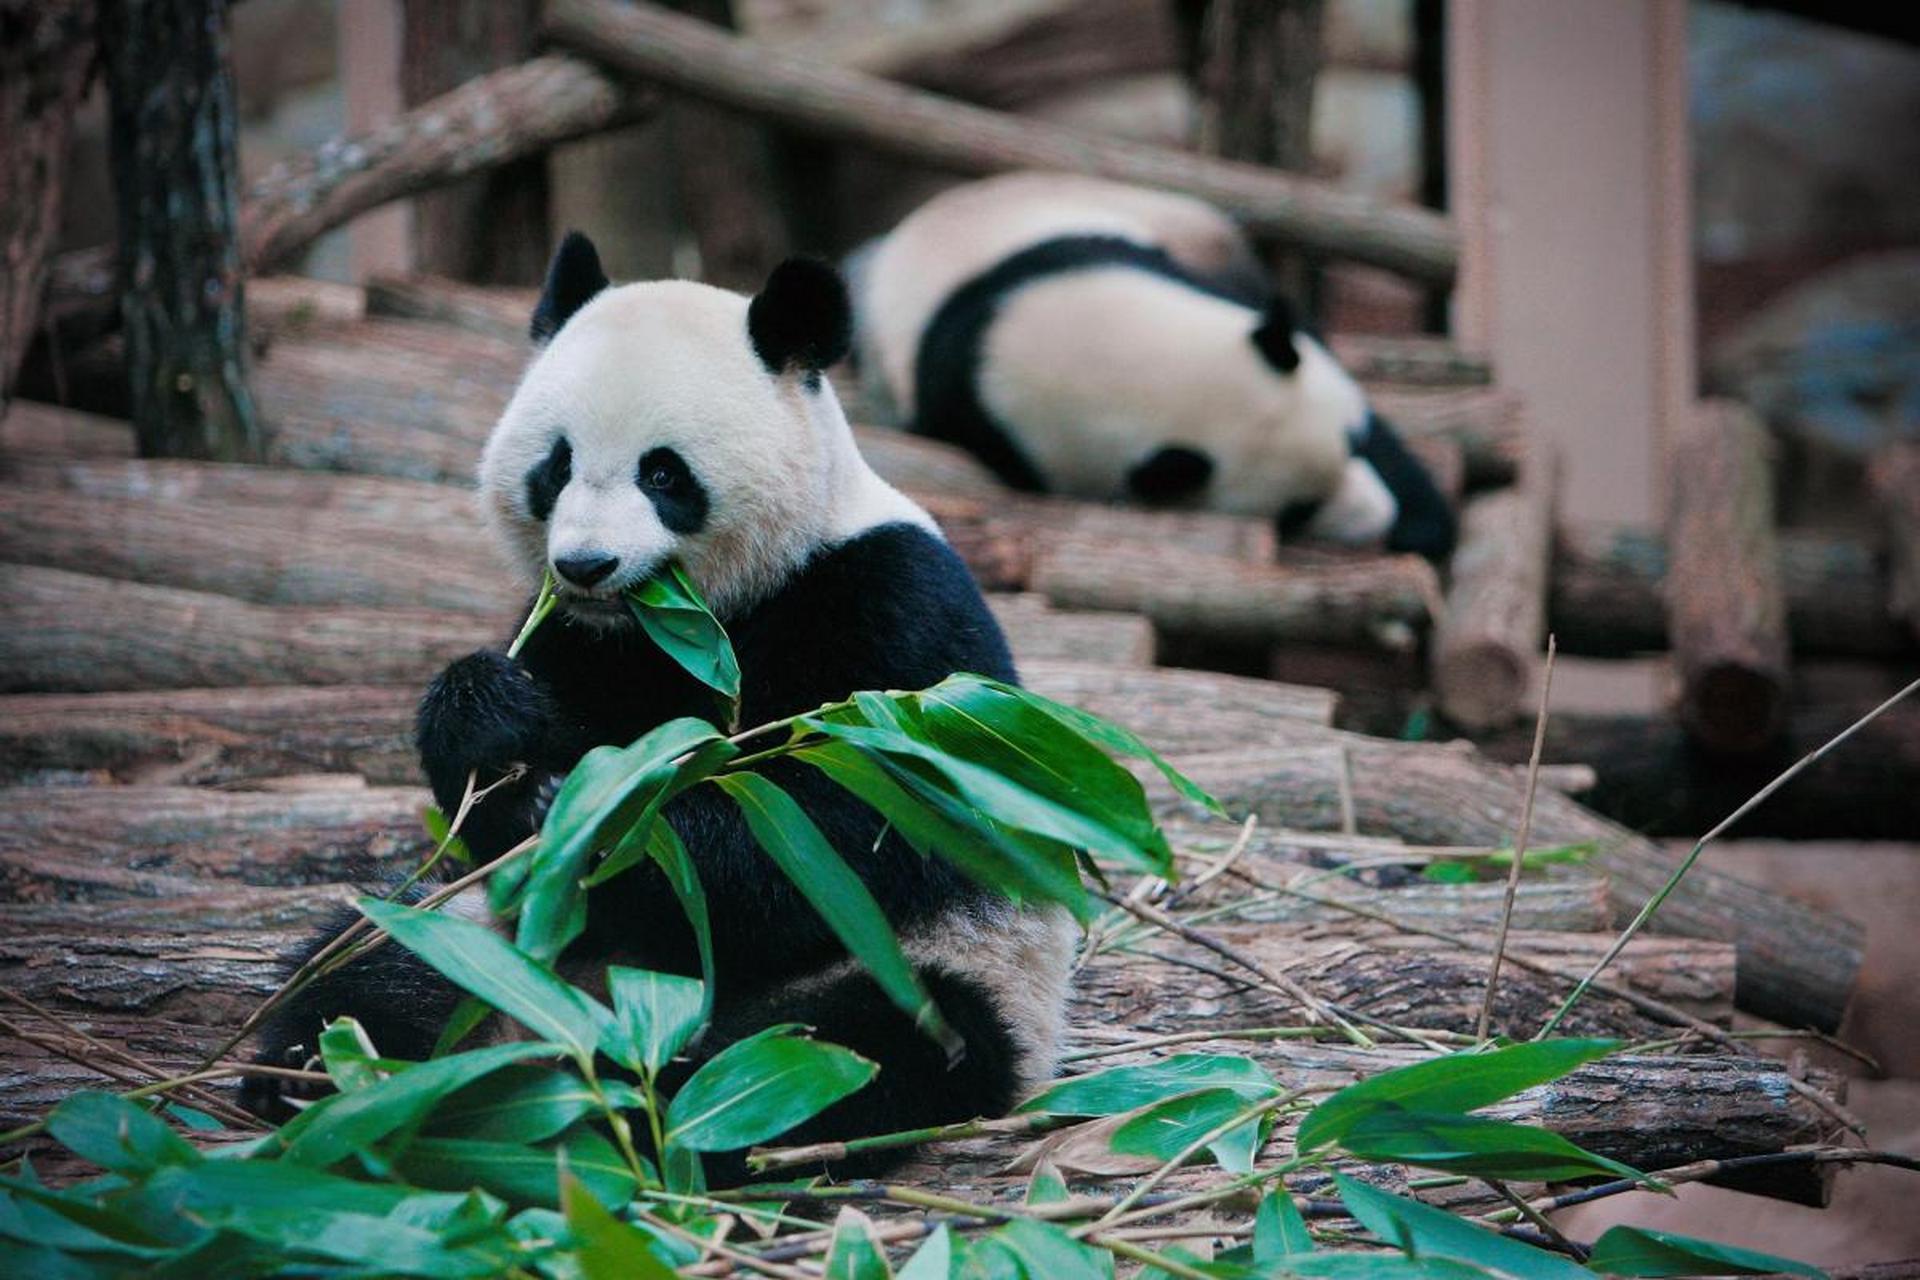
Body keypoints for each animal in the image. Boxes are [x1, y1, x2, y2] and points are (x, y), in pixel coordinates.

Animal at [241, 235, 1082, 1189]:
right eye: (555, 465)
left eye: (663, 472)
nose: (586, 564)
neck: (694, 613)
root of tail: (571, 1016)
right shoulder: (586, 642)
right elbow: (497, 783)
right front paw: (496, 731)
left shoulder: (893, 615)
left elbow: (845, 826)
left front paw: (600, 831)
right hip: (482, 941)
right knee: (378, 961)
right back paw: (326, 1074)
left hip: (940, 967)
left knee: (849, 1045)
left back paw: (647, 1109)